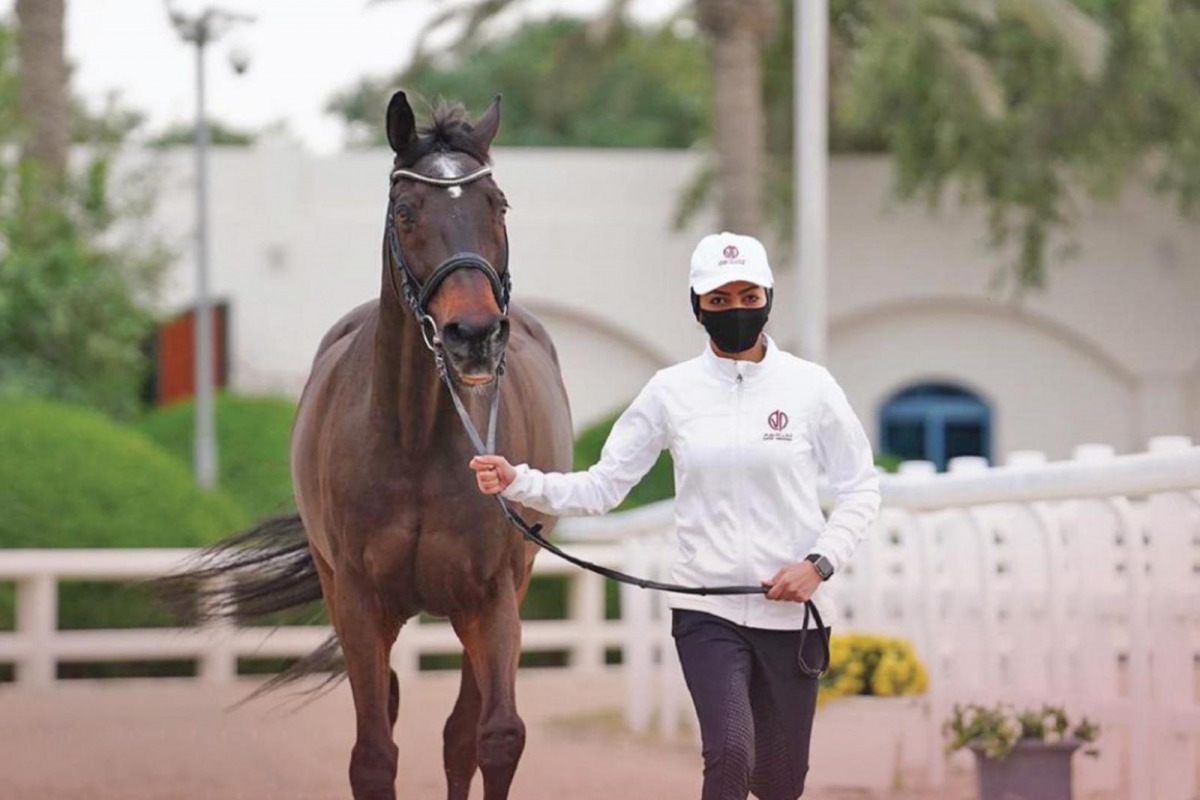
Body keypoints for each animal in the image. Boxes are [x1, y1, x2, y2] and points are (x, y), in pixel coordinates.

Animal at [165, 92, 574, 800]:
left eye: (497, 206)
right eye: (407, 212)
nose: (474, 335)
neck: (413, 441)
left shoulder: (493, 596)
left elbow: (495, 736)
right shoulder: (357, 602)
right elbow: (374, 753)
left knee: (460, 732)